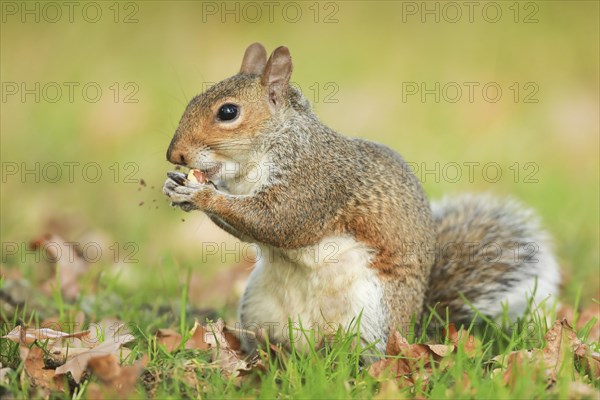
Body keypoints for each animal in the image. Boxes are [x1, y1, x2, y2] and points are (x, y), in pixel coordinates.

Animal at [162, 43, 560, 356]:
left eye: (228, 112)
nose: (174, 155)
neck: (257, 158)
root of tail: (415, 327)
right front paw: (177, 187)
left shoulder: (314, 183)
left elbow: (280, 222)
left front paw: (202, 194)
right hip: (260, 309)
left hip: (372, 316)